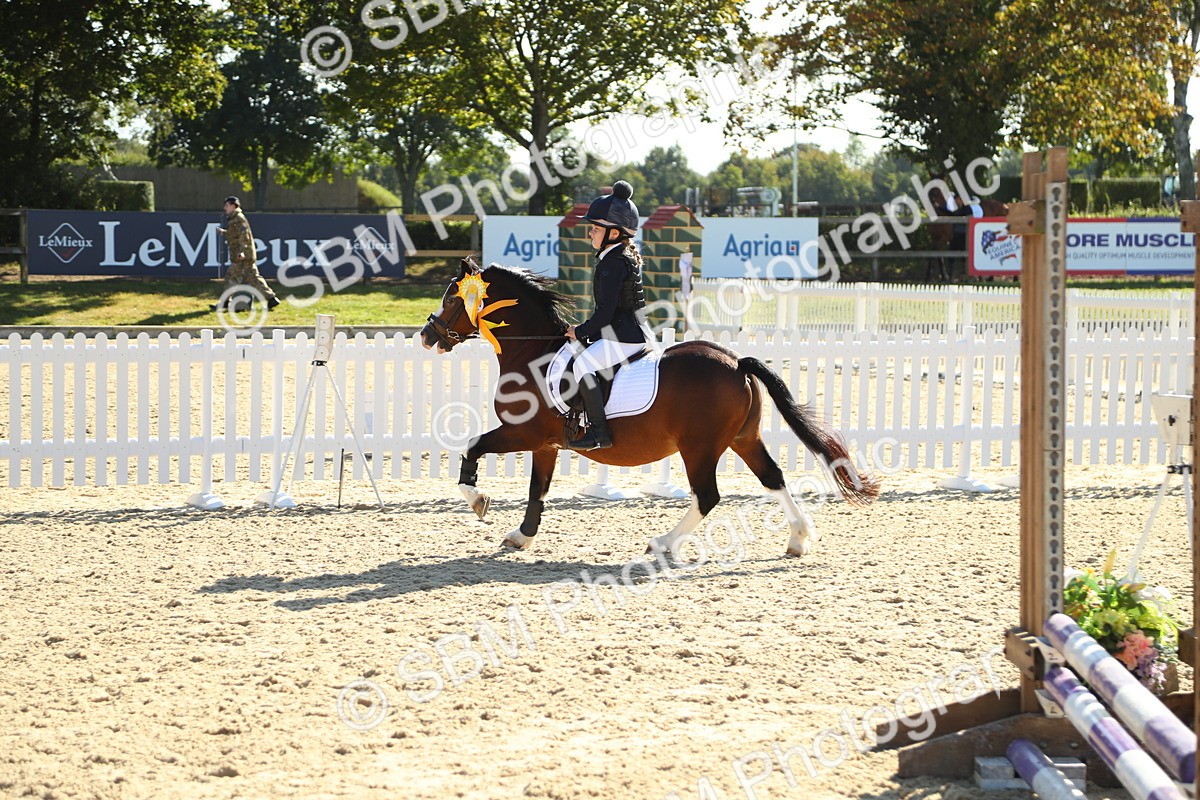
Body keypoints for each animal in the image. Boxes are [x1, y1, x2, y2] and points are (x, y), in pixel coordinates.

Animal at [419, 257, 879, 557]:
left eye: (452, 297)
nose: (426, 335)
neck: (534, 352)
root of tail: (736, 361)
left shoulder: (523, 432)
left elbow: (472, 447)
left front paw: (478, 501)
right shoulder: (545, 443)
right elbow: (537, 490)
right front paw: (522, 536)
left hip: (699, 447)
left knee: (708, 495)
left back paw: (663, 543)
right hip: (743, 438)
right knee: (773, 478)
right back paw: (798, 537)